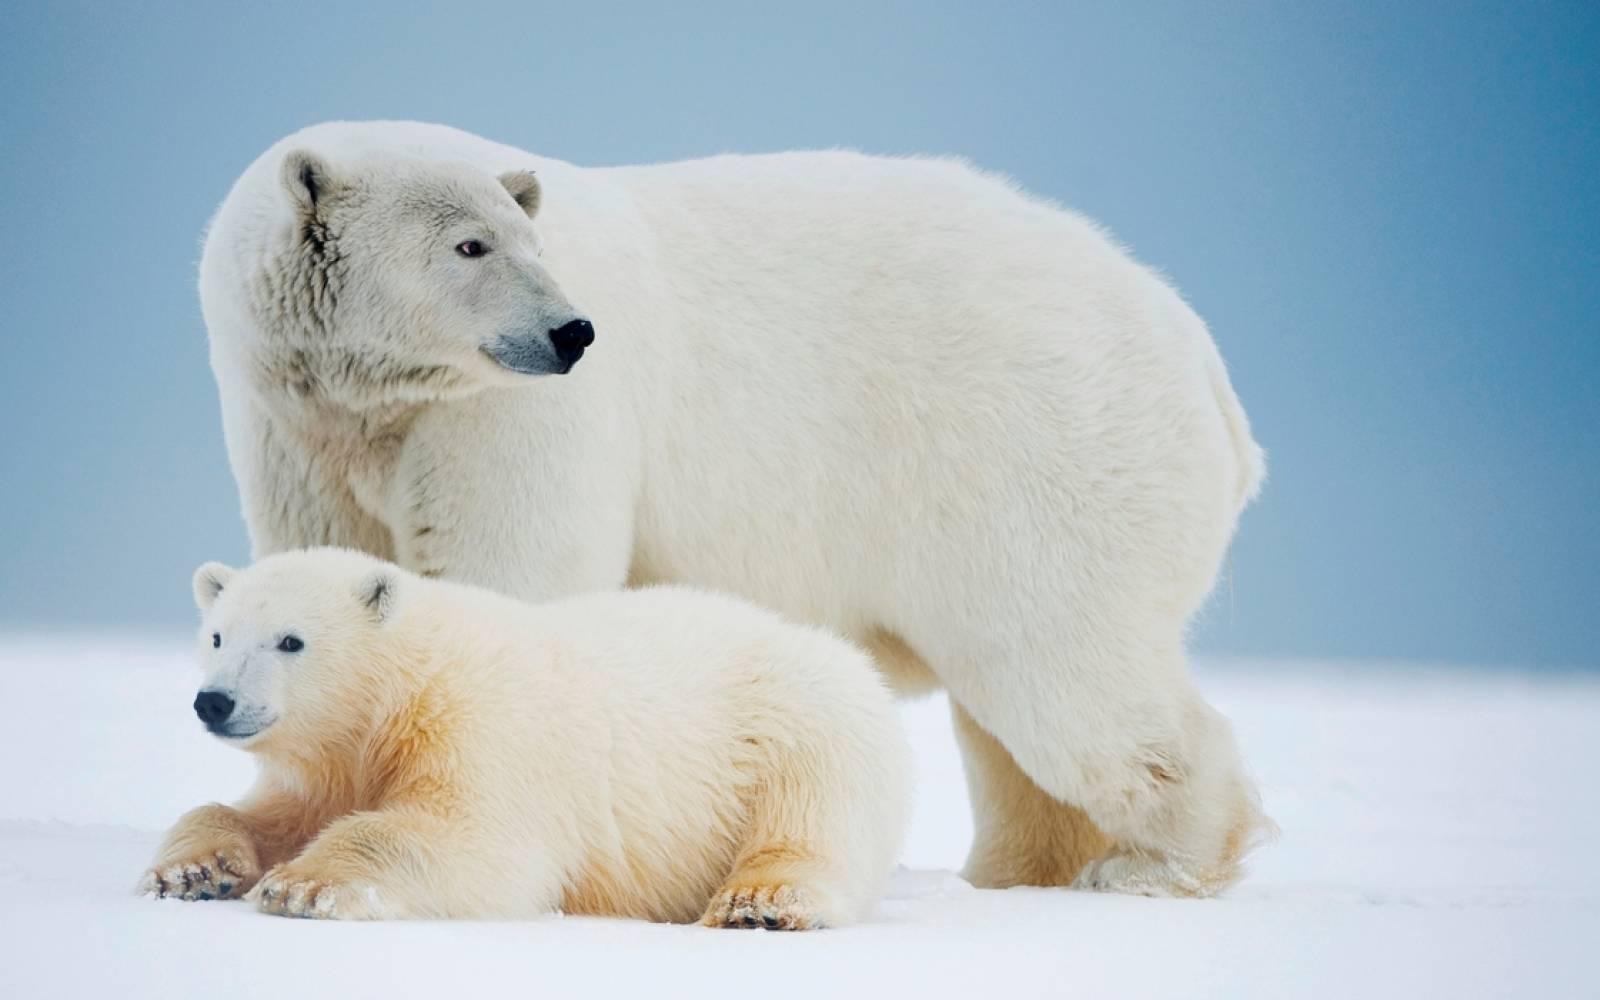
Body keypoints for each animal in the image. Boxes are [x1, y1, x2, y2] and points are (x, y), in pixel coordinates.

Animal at [144, 547, 915, 921]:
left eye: (291, 641)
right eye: (218, 635)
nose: (214, 702)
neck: (403, 692)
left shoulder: (483, 731)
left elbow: (479, 843)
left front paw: (302, 884)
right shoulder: (334, 766)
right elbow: (265, 811)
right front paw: (194, 871)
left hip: (798, 726)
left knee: (810, 822)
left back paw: (758, 905)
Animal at [200, 120, 1267, 896]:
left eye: (528, 240)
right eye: (470, 244)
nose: (572, 330)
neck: (379, 401)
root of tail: (1204, 363)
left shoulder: (506, 418)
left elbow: (506, 577)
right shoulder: (298, 426)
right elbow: (324, 553)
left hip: (1036, 459)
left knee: (1064, 671)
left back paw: (1151, 865)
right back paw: (1016, 871)